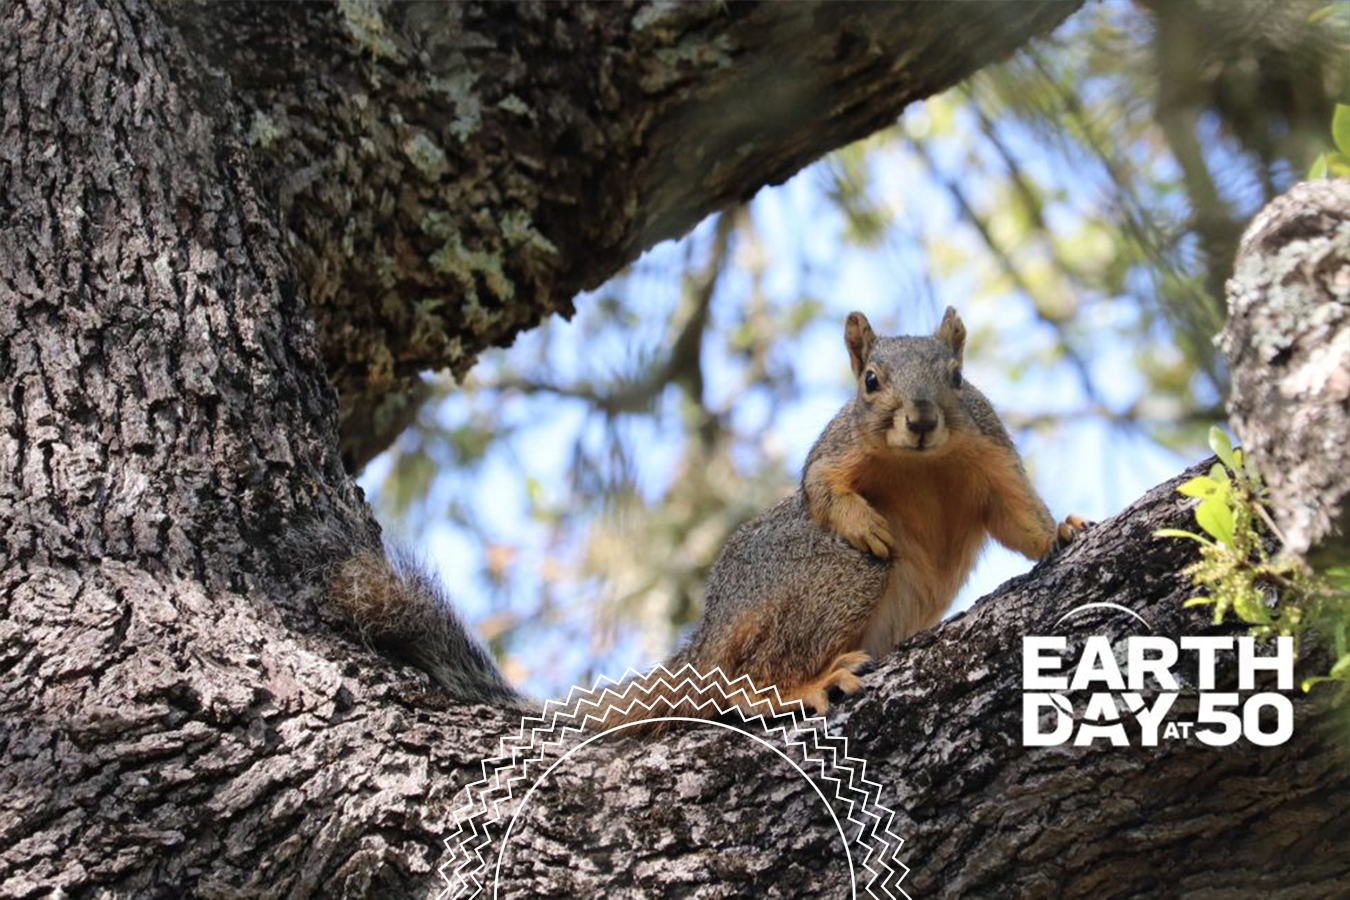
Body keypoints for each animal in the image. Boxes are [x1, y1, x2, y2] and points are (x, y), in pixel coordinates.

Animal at [311, 307, 1084, 725]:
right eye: (869, 382)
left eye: (956, 376)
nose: (921, 420)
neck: (921, 466)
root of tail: (704, 642)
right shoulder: (836, 453)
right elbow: (820, 490)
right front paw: (862, 518)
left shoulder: (987, 453)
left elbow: (1018, 514)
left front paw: (1064, 531)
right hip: (822, 581)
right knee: (750, 683)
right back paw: (807, 683)